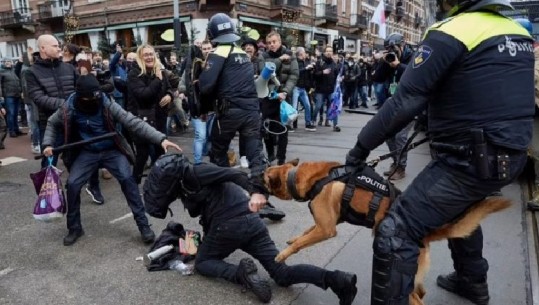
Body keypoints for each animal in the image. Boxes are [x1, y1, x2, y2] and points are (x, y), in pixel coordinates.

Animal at [264, 159, 512, 302]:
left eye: (263, 176)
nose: (254, 176)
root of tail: (425, 233)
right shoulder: (325, 224)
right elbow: (305, 232)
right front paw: (293, 239)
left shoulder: (327, 229)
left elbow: (303, 240)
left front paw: (282, 255)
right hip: (416, 277)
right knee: (420, 293)